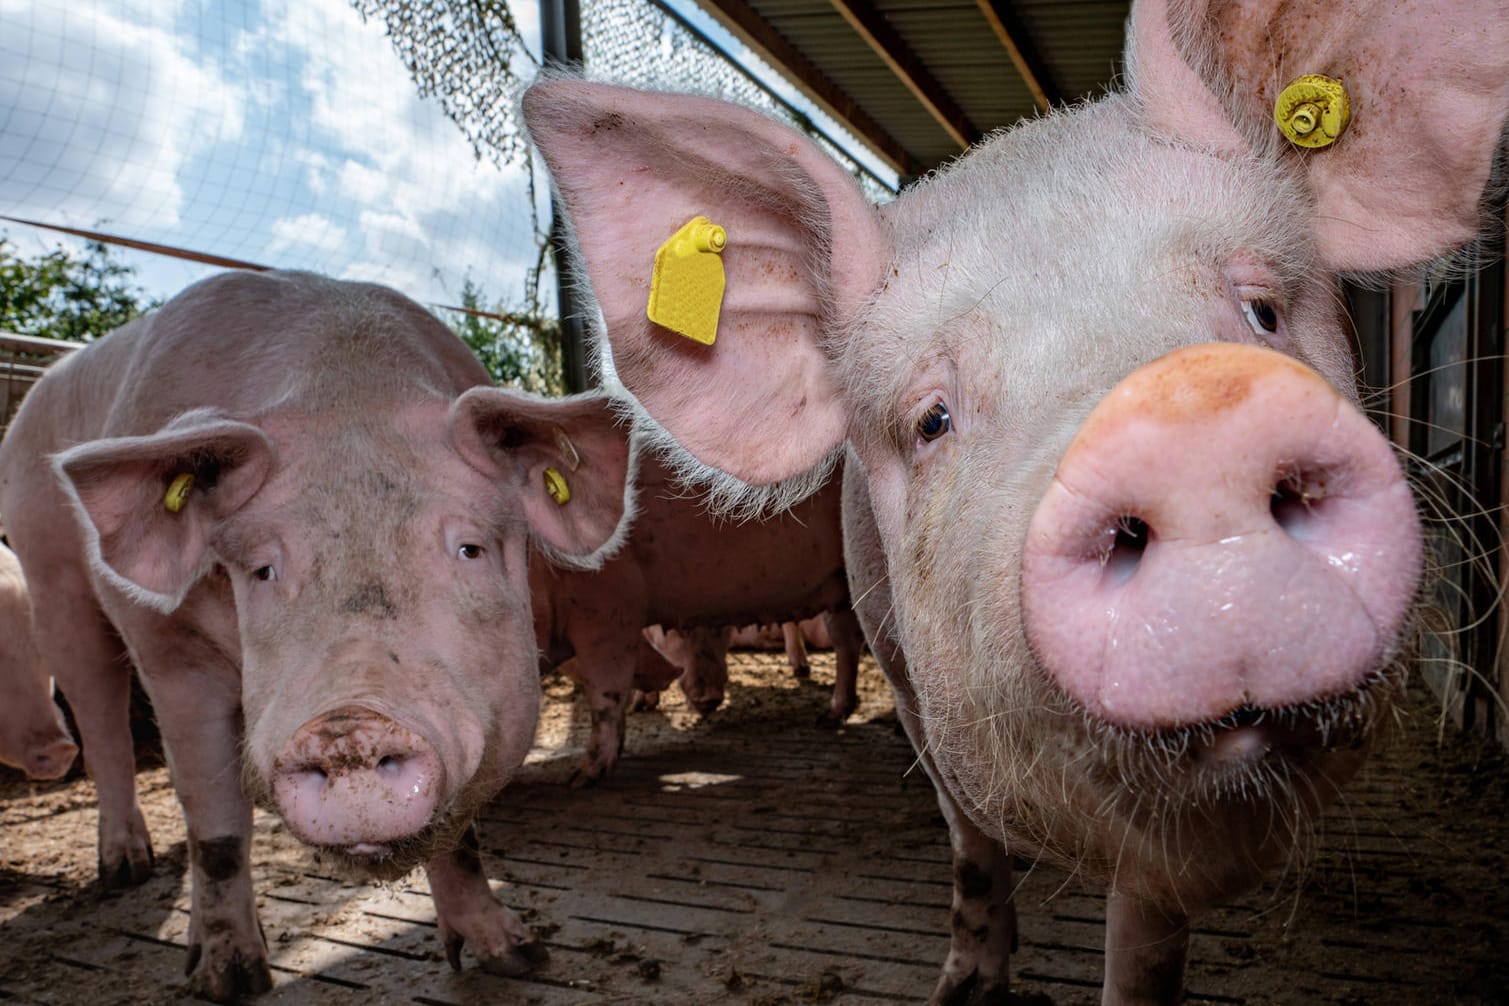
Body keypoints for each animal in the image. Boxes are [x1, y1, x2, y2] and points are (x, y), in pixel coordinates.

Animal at [522, 1, 1509, 1001]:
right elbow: (971, 849)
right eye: (931, 420)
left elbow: (1145, 929)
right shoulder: (909, 688)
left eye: (1262, 310)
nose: (1185, 429)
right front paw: (960, 988)